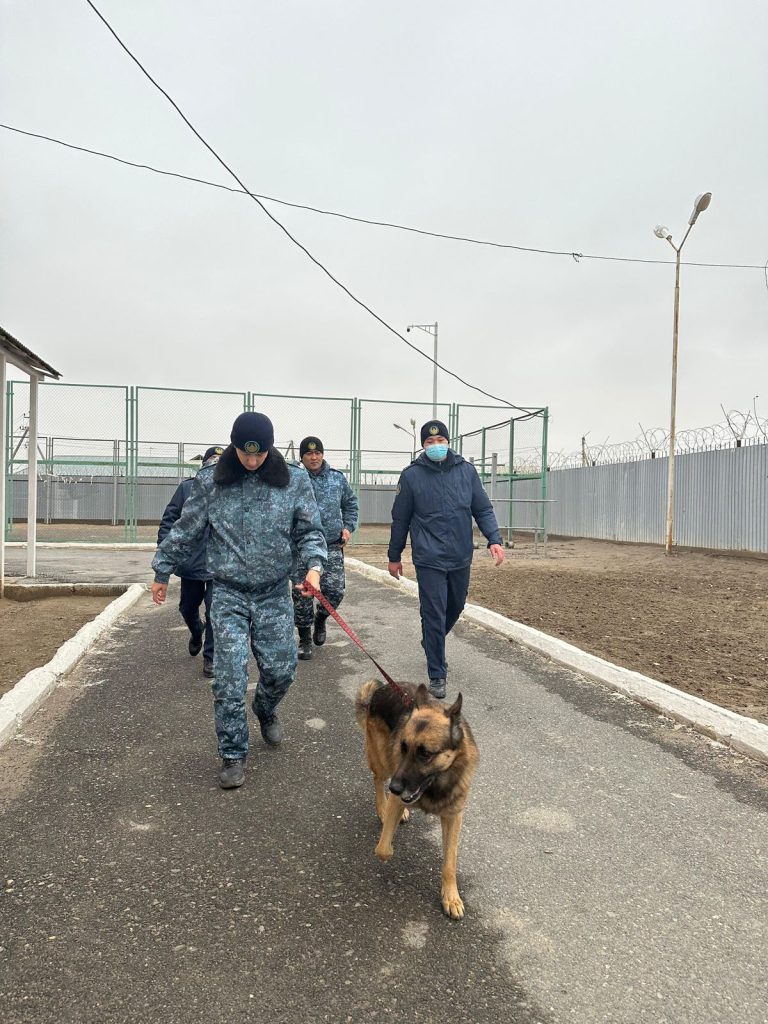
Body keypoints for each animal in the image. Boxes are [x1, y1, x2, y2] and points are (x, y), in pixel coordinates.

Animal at [356, 679, 479, 921]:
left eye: (425, 754)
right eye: (404, 747)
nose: (395, 788)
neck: (435, 784)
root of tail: (383, 687)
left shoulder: (453, 816)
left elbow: (449, 862)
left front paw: (451, 897)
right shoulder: (397, 793)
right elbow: (382, 849)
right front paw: (389, 846)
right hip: (383, 760)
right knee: (378, 779)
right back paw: (383, 809)